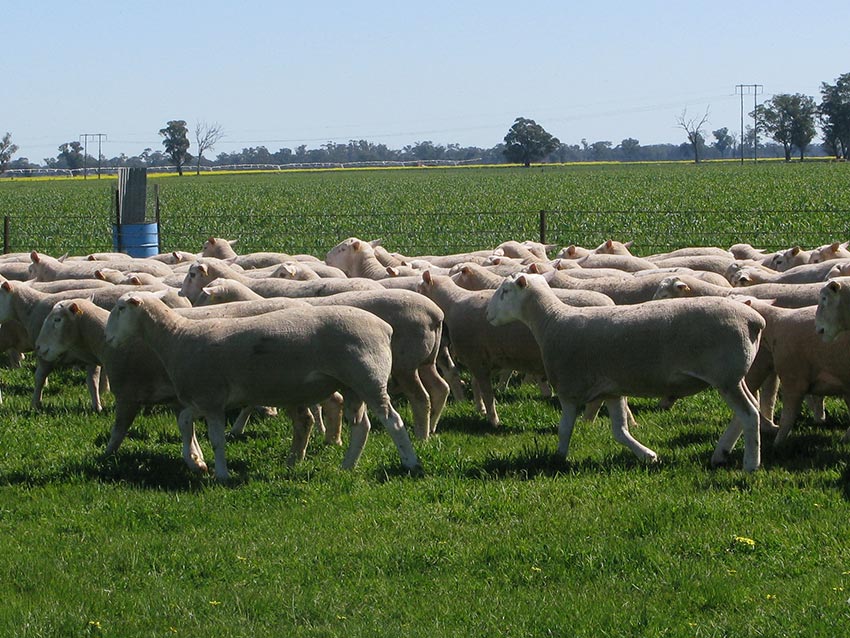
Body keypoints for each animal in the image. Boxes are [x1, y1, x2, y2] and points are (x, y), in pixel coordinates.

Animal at [480, 274, 764, 470]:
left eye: (505, 291)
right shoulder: (613, 390)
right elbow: (620, 431)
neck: (551, 321)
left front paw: (558, 459)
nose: (487, 314)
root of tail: (754, 320)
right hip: (733, 377)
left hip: (725, 377)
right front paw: (649, 456)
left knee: (749, 415)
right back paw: (721, 454)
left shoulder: (569, 389)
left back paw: (750, 464)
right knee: (748, 410)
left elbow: (564, 429)